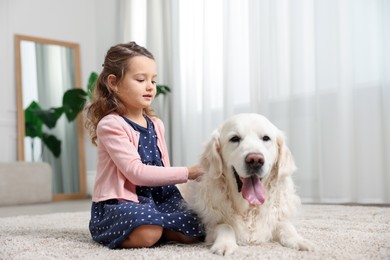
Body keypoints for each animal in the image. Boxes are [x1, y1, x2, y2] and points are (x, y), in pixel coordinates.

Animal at [184, 112, 316, 255]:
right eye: (235, 138)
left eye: (266, 138)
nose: (255, 160)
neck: (248, 208)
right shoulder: (209, 224)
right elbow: (225, 226)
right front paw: (224, 245)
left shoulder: (275, 218)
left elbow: (286, 225)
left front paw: (300, 240)